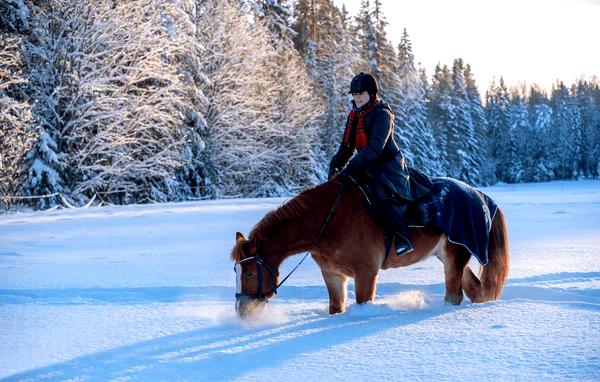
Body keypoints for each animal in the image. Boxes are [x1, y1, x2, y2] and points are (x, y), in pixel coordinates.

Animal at [232, 179, 508, 316]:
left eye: (249, 273)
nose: (242, 310)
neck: (330, 220)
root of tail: (481, 196)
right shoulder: (332, 274)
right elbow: (336, 308)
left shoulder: (366, 272)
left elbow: (363, 301)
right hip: (449, 255)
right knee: (474, 290)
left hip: (453, 256)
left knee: (454, 296)